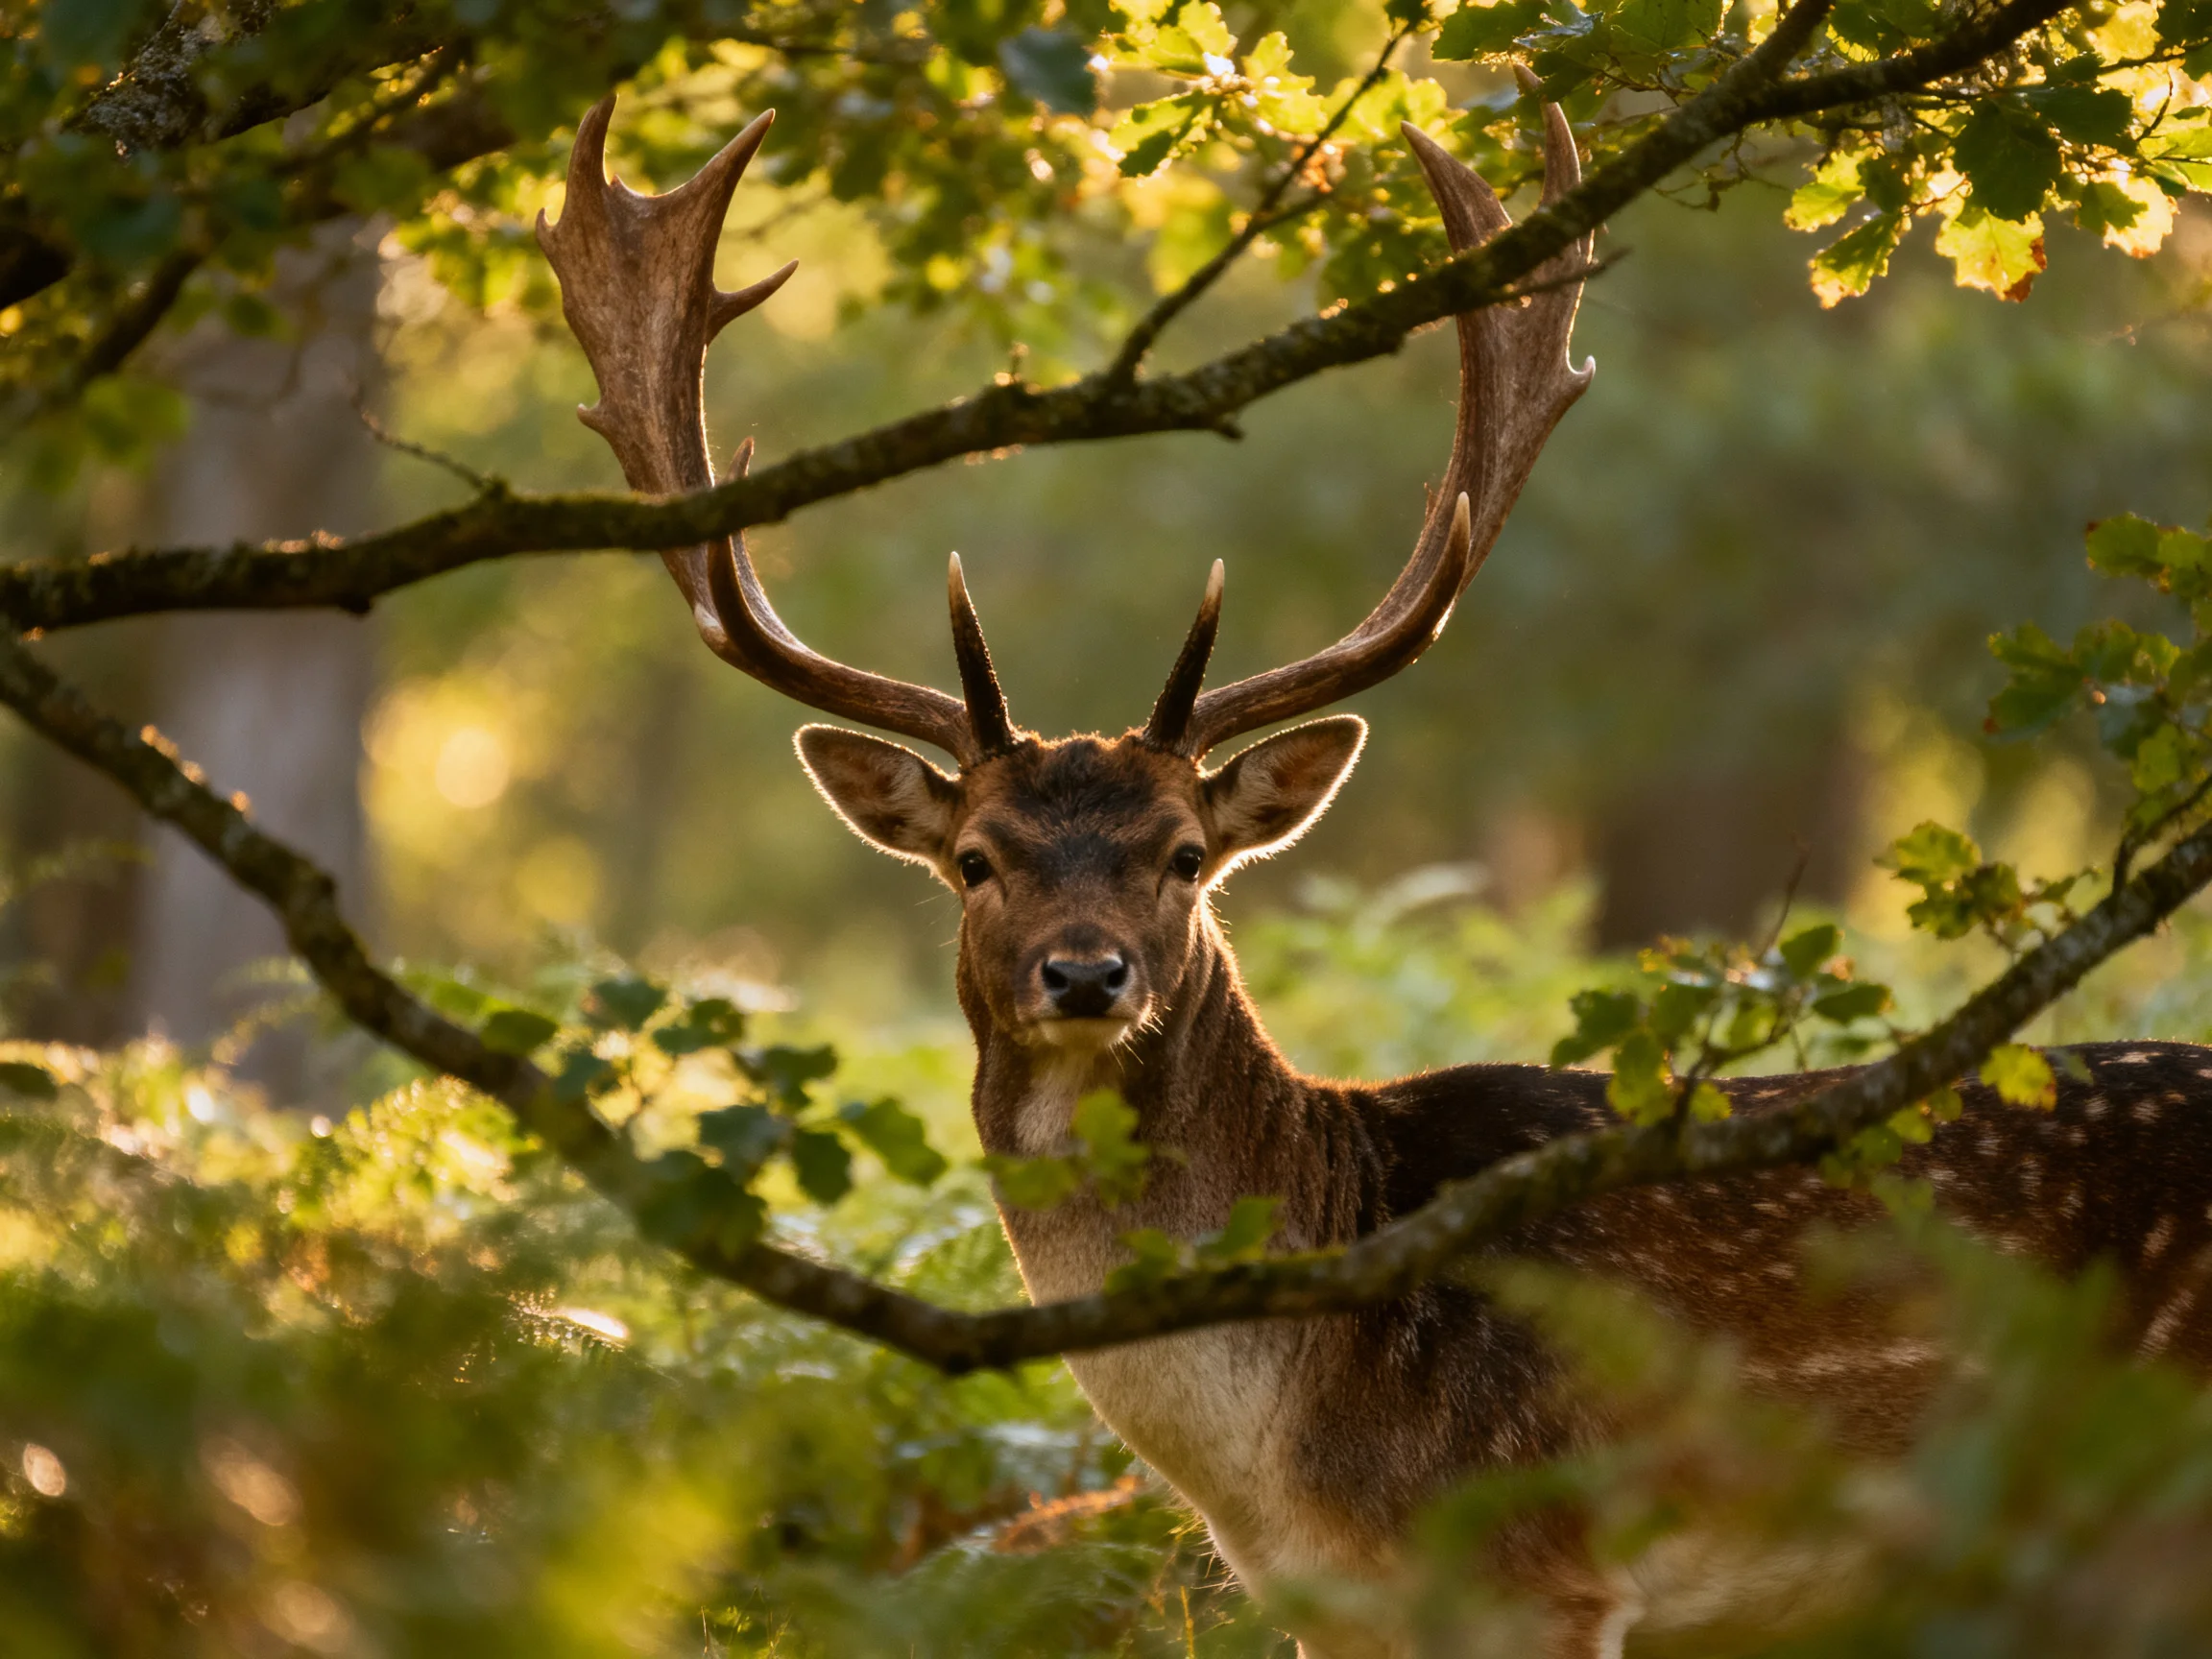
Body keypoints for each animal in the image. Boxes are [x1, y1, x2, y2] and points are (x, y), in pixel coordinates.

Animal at [537, 94, 2212, 1659]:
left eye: (1187, 855)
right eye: (973, 859)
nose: (1086, 972)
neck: (1283, 1464)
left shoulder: (1550, 1570)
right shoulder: (1324, 1607)